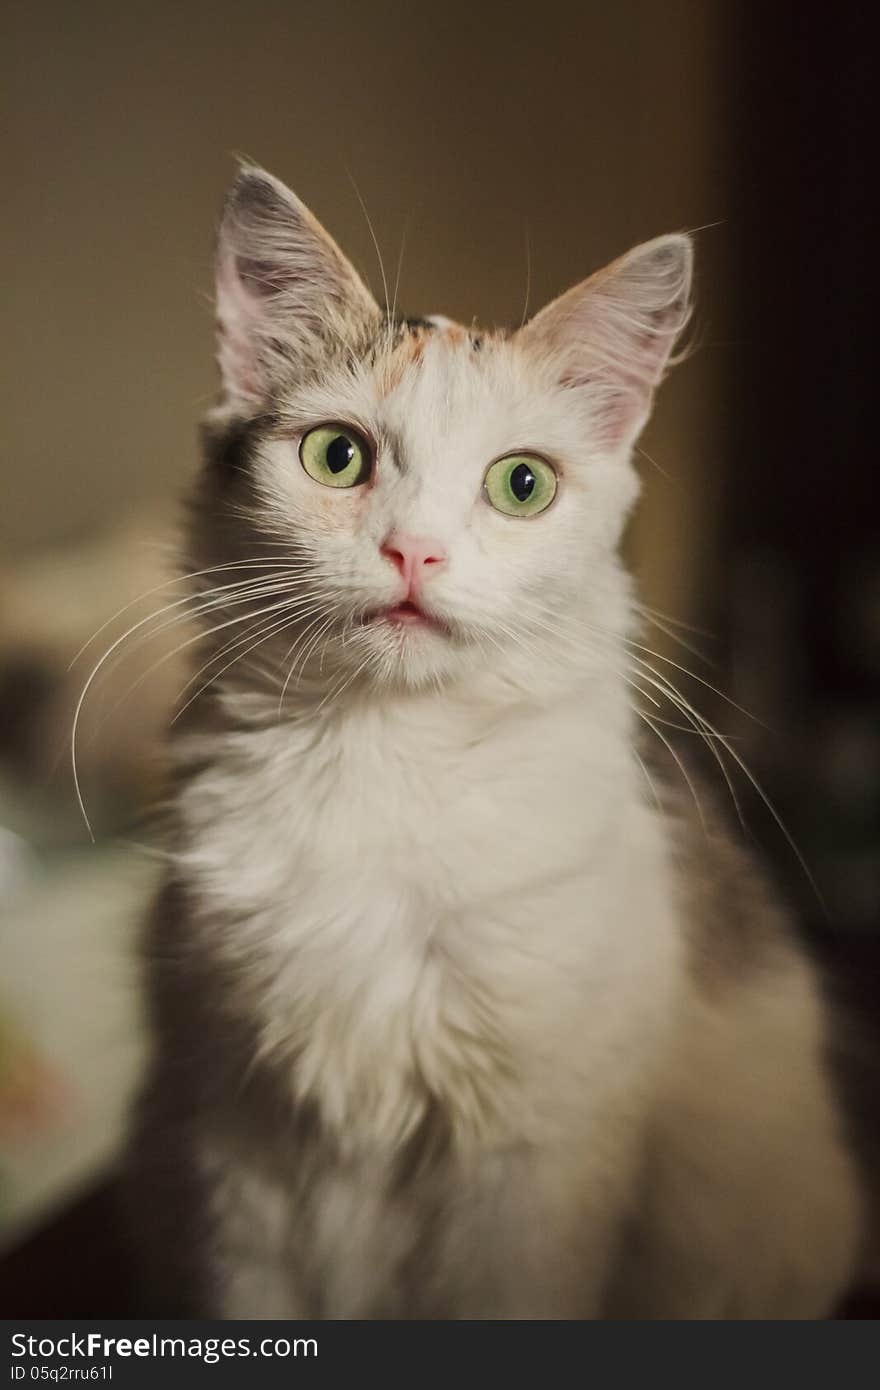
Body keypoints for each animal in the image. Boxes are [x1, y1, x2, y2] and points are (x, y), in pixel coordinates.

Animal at [127, 162, 861, 1312]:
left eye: (522, 484)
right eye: (337, 457)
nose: (414, 552)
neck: (385, 753)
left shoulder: (529, 1161)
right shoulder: (236, 1139)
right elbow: (254, 1294)